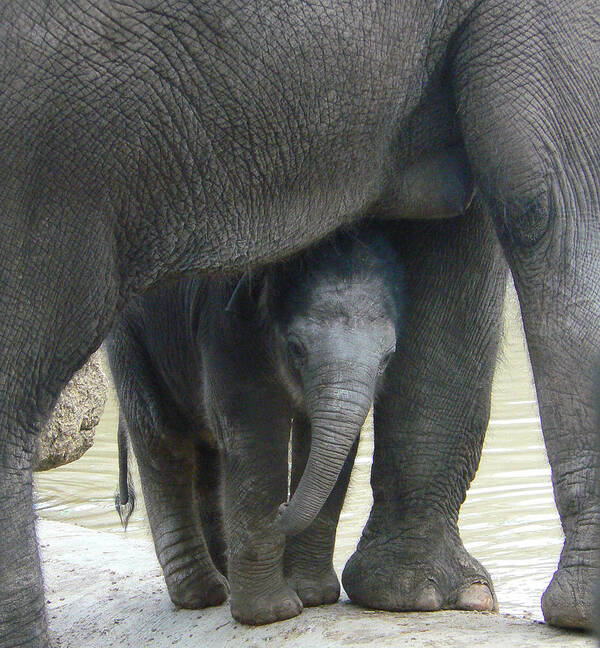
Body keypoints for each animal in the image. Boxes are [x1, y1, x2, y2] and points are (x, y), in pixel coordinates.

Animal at [107, 225, 406, 624]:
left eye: (389, 357)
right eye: (296, 348)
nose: (283, 509)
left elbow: (323, 439)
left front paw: (313, 596)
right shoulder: (229, 324)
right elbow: (254, 436)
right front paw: (274, 613)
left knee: (206, 457)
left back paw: (224, 579)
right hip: (129, 340)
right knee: (162, 441)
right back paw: (203, 594)